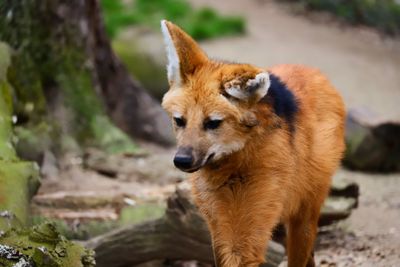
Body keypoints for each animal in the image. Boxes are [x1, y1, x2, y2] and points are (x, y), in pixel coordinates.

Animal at [161, 19, 346, 266]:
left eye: (213, 123)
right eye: (179, 121)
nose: (181, 160)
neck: (232, 164)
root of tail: (315, 72)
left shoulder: (252, 219)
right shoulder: (218, 223)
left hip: (304, 208)